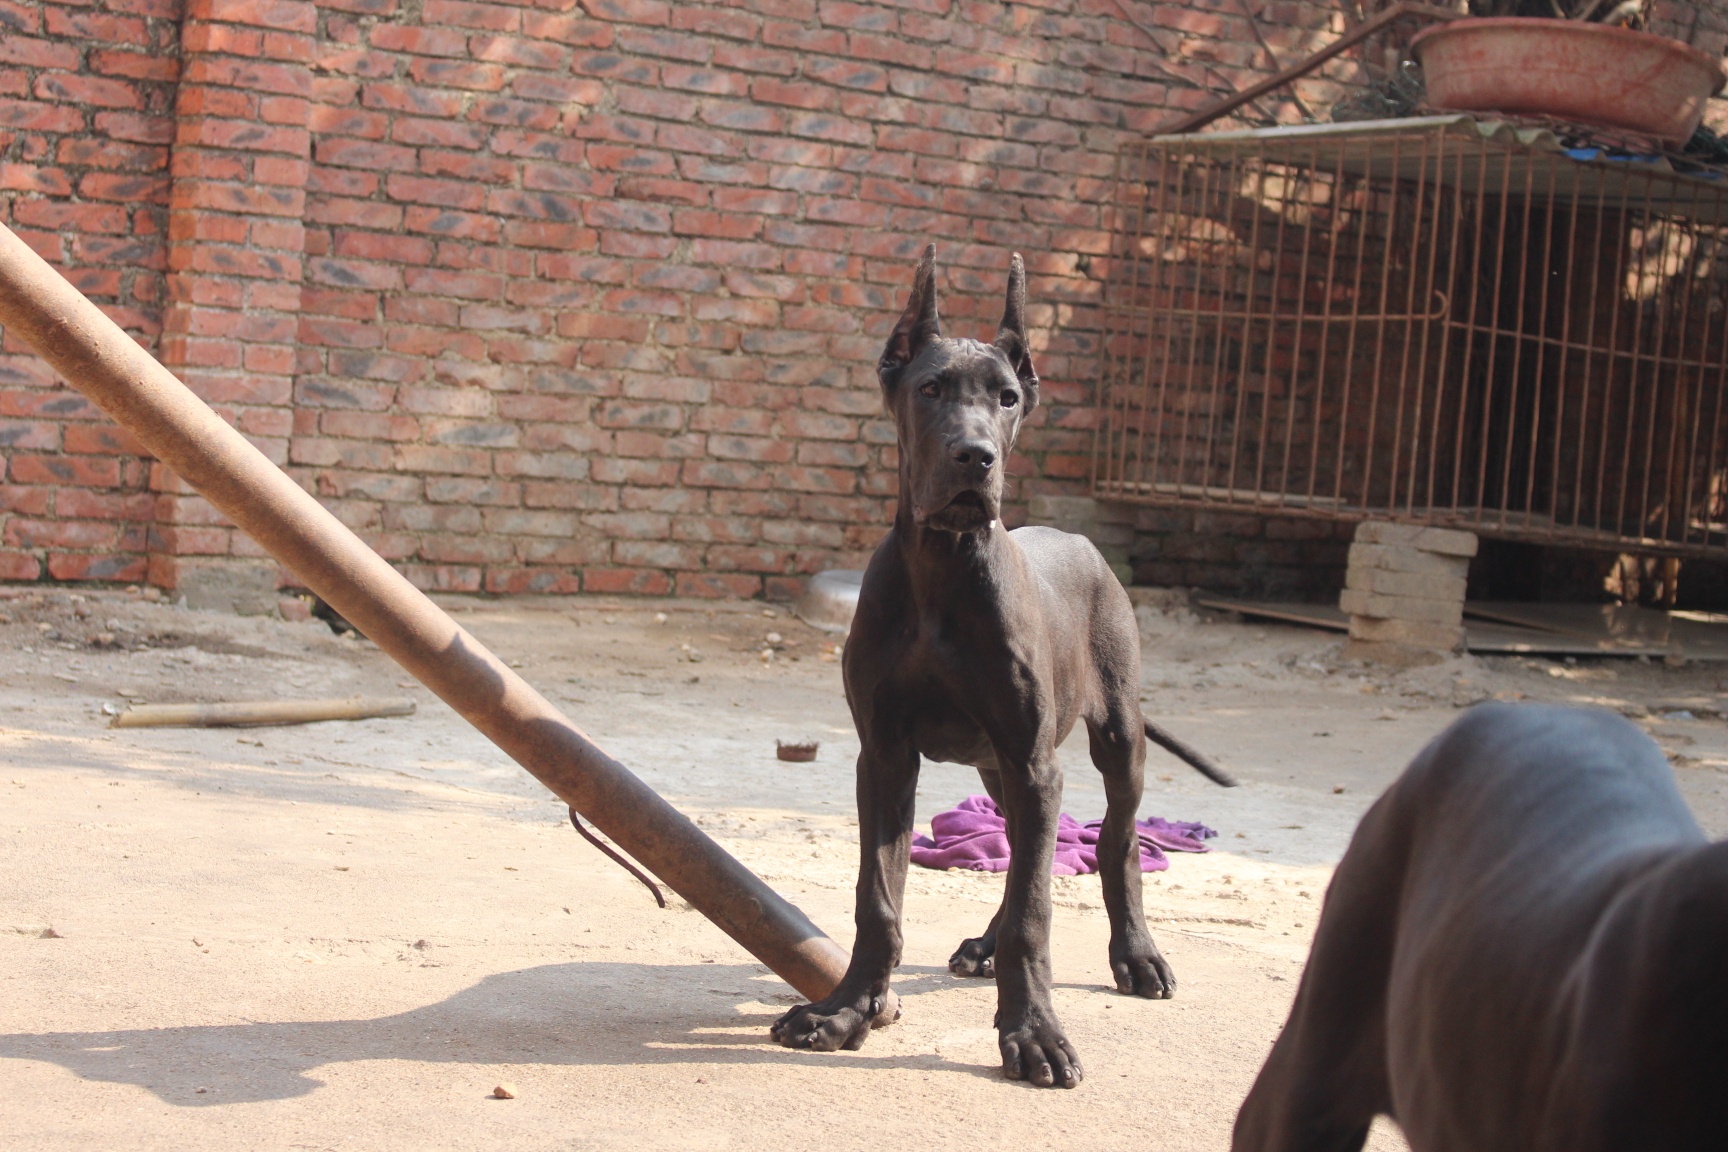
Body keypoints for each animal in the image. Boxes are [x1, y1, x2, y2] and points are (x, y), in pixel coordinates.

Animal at [767, 248, 1230, 1084]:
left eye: (1008, 399)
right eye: (929, 390)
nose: (974, 458)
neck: (944, 566)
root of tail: (1080, 542)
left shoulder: (1033, 759)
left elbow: (1036, 911)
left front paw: (1033, 1032)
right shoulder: (886, 754)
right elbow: (878, 896)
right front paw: (845, 1010)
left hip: (1113, 736)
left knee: (1113, 842)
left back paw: (1137, 955)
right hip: (999, 765)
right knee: (1023, 848)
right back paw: (984, 943)